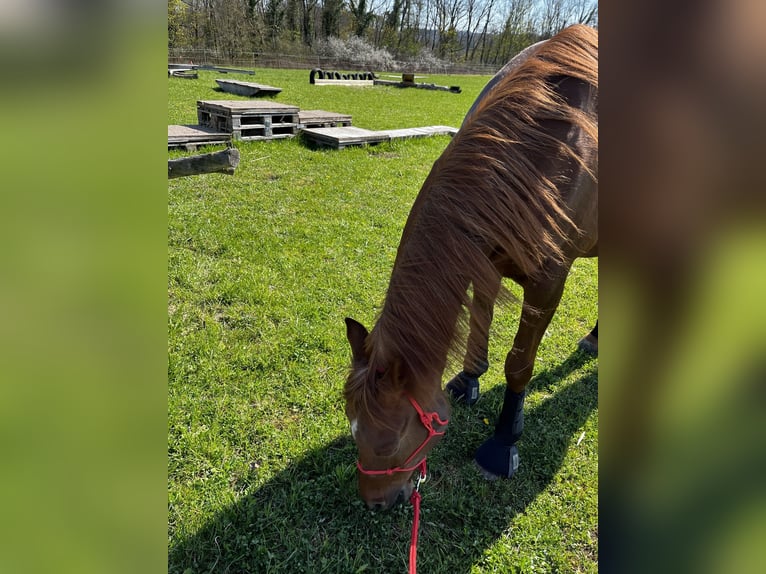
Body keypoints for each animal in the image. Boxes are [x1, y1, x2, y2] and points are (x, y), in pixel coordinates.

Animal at [344, 25, 600, 512]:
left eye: (390, 442)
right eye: (352, 429)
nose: (373, 503)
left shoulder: (548, 282)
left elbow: (519, 364)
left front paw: (502, 444)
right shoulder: (485, 257)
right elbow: (480, 315)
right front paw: (469, 378)